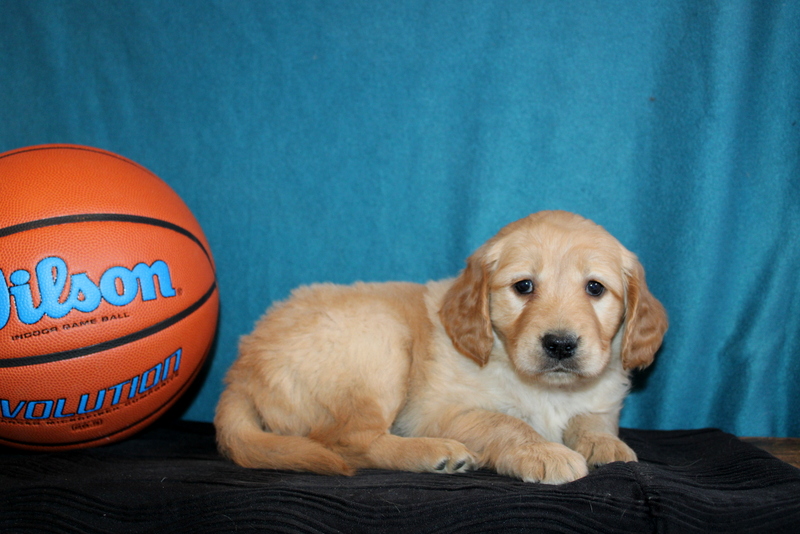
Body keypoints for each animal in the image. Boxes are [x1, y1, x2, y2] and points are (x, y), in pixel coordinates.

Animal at [214, 210, 668, 486]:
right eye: (523, 286)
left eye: (595, 288)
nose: (560, 344)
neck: (545, 388)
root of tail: (239, 369)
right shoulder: (435, 411)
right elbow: (504, 421)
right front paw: (541, 450)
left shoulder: (601, 401)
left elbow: (592, 420)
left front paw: (605, 445)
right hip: (380, 343)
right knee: (349, 441)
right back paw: (435, 453)